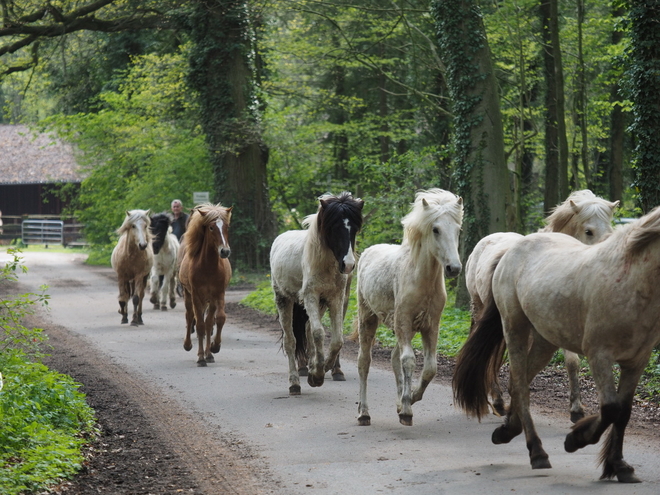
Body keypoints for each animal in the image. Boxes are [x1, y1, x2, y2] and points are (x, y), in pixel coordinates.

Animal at [178, 202, 235, 368]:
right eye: (211, 227)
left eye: (227, 226)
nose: (224, 251)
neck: (208, 267)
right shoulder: (196, 295)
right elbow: (200, 326)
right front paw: (200, 357)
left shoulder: (218, 294)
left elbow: (217, 320)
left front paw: (215, 348)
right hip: (188, 295)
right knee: (190, 316)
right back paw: (189, 345)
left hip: (210, 300)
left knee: (208, 322)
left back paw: (209, 354)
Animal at [272, 193, 366, 396]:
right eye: (334, 228)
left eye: (354, 228)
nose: (348, 265)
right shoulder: (311, 297)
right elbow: (318, 333)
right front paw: (317, 375)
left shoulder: (336, 299)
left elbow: (337, 340)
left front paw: (323, 369)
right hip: (284, 300)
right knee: (291, 341)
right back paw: (294, 384)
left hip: (320, 305)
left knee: (307, 331)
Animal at [356, 190, 464, 426]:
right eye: (435, 229)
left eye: (458, 230)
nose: (454, 268)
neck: (422, 281)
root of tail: (367, 252)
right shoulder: (403, 321)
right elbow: (409, 361)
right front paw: (406, 410)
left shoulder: (430, 326)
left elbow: (429, 368)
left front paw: (410, 399)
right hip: (368, 319)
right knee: (364, 362)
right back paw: (363, 413)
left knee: (394, 358)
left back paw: (399, 401)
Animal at [464, 190, 620, 422]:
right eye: (588, 231)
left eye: (610, 230)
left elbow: (572, 362)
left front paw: (576, 408)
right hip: (481, 309)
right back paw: (498, 400)